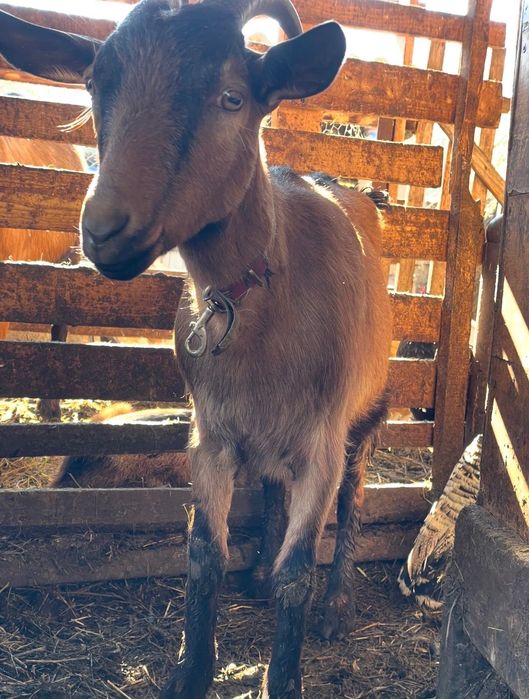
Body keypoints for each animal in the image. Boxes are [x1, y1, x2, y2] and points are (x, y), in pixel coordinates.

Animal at [0, 2, 392, 697]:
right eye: (94, 85)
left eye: (232, 97)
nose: (104, 231)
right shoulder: (211, 436)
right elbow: (204, 551)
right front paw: (189, 671)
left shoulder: (321, 441)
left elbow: (300, 569)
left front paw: (284, 676)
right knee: (272, 489)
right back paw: (257, 573)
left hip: (368, 413)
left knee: (354, 500)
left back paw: (338, 607)